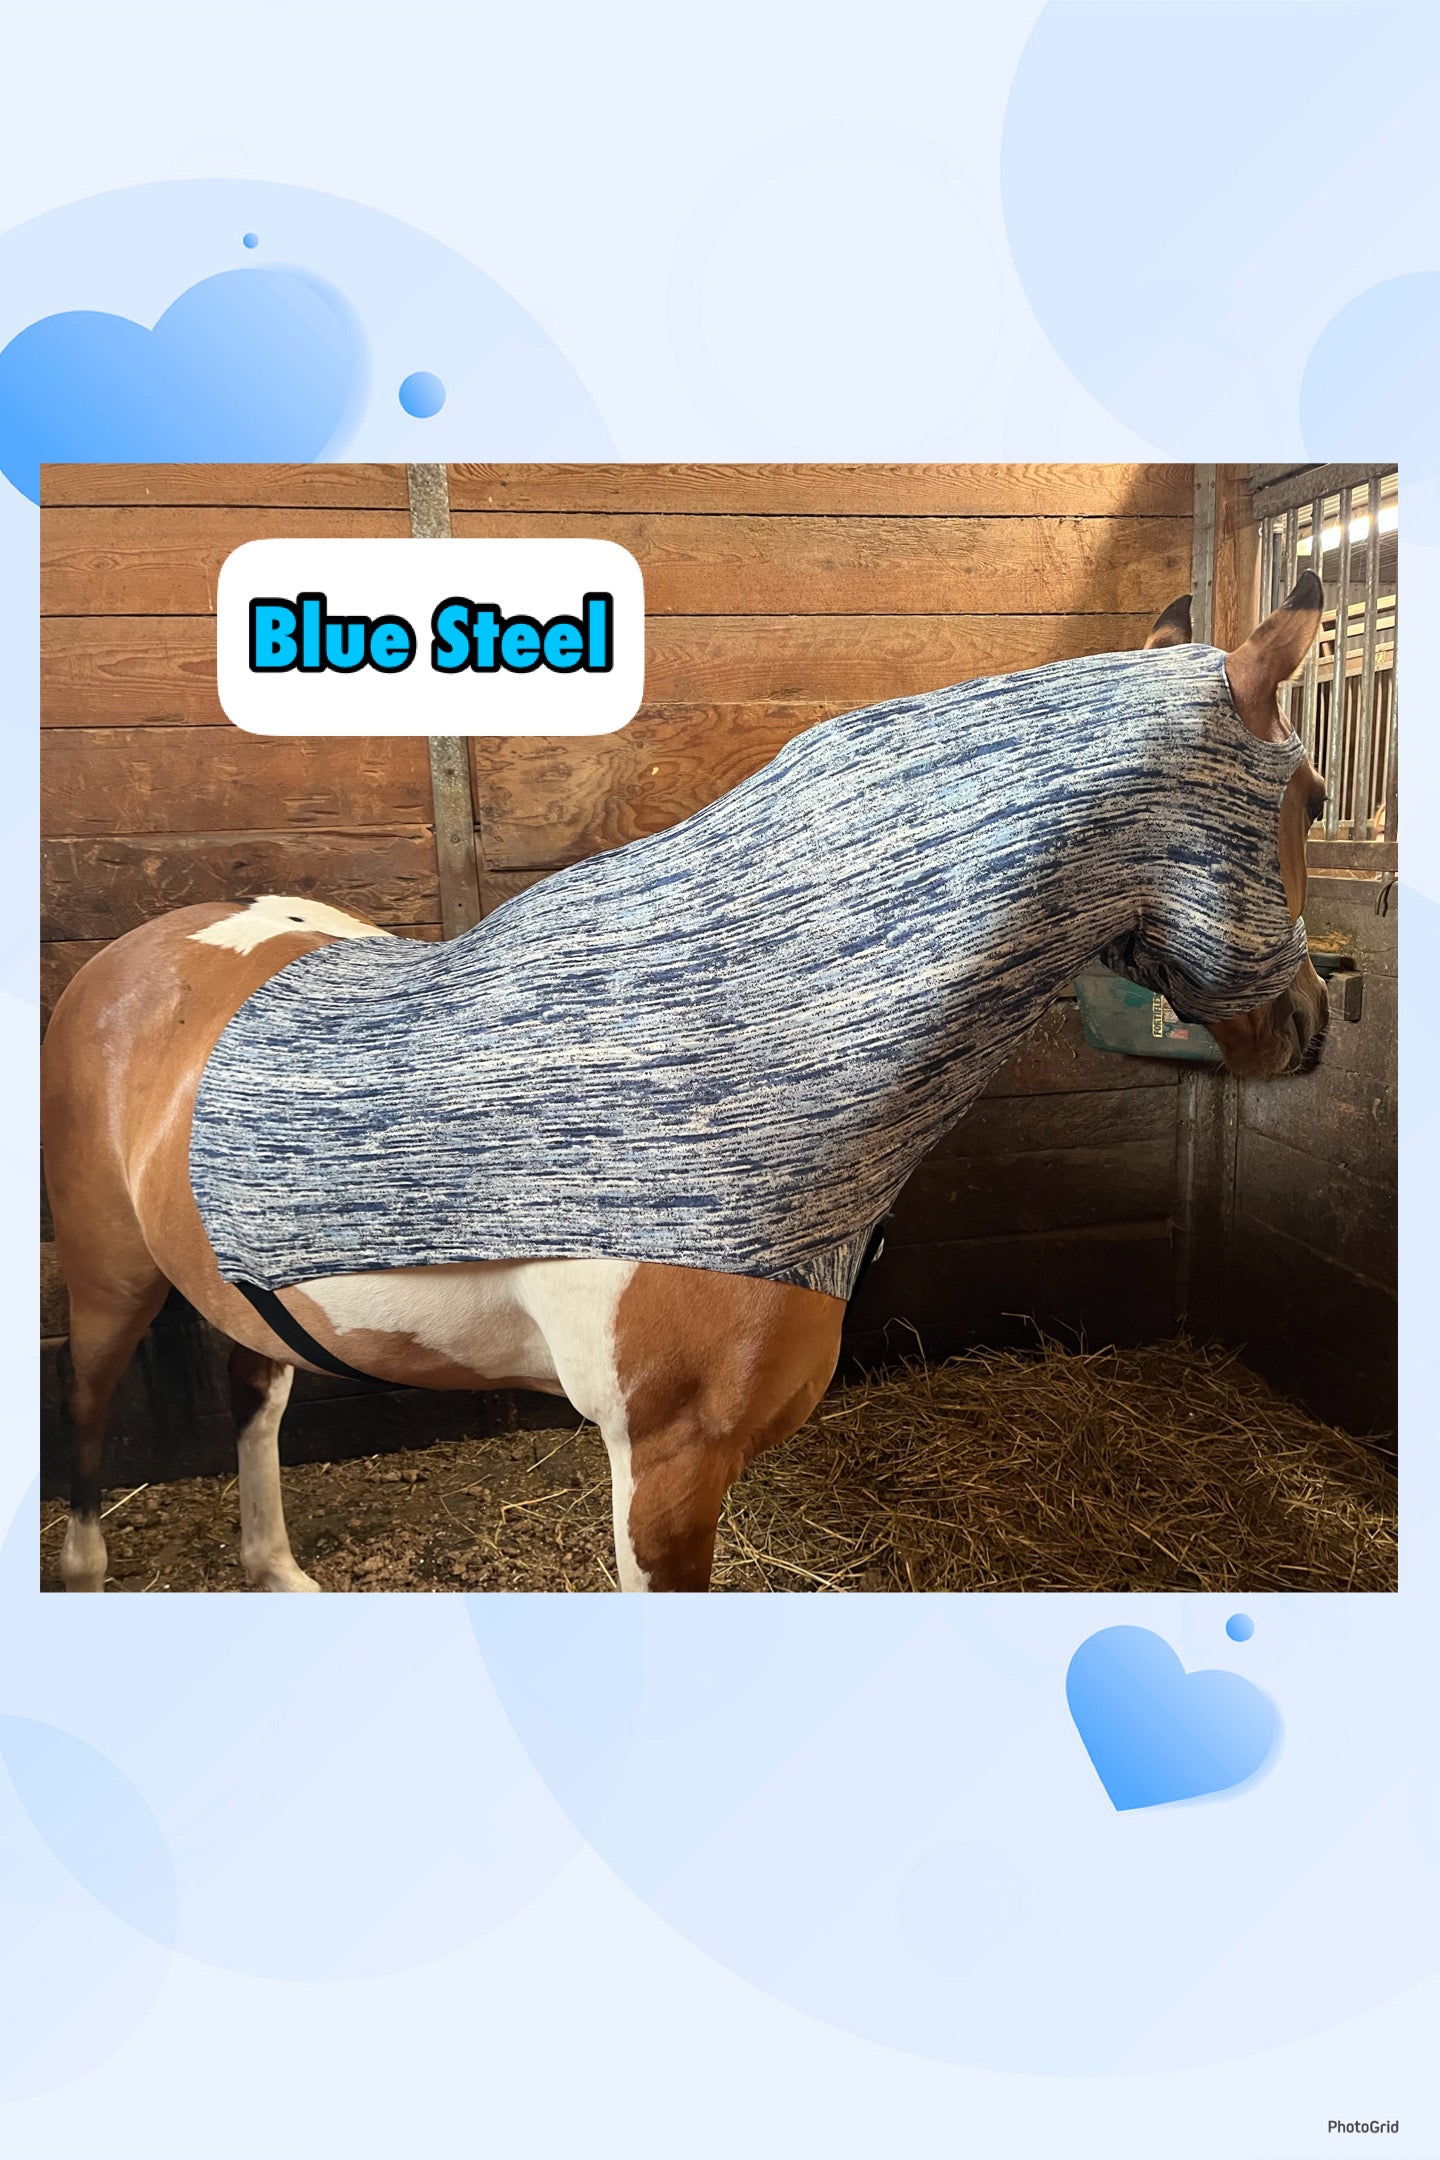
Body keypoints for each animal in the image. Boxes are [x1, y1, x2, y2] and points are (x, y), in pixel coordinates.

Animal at [41, 578, 1329, 1594]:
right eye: (1312, 799)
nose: (1312, 1028)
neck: (733, 1050)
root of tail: (134, 956)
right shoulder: (665, 1469)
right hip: (106, 1275)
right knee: (91, 1420)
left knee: (254, 1396)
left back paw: (276, 1569)